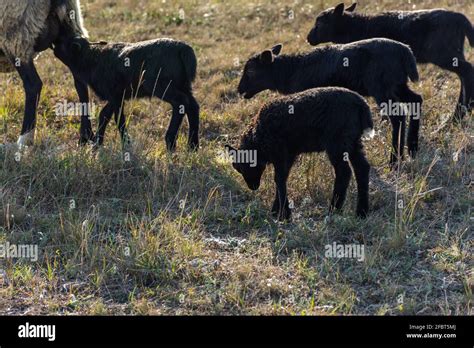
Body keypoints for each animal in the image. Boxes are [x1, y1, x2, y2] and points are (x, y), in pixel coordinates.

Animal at [0, 0, 94, 147]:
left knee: (33, 85)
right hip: (69, 26)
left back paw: (24, 139)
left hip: (17, 35)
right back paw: (86, 136)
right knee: (81, 81)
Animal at [52, 37, 200, 151]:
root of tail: (183, 49)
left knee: (181, 102)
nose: (54, 45)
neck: (90, 58)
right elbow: (108, 115)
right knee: (193, 106)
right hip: (184, 85)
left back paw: (171, 141)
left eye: (65, 43)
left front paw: (122, 144)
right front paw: (101, 143)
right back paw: (192, 146)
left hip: (162, 85)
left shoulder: (114, 95)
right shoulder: (117, 96)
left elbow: (114, 118)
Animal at [226, 88, 374, 222]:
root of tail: (362, 105)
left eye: (241, 167)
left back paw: (334, 209)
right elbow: (283, 178)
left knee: (344, 172)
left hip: (337, 141)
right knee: (362, 168)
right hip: (353, 141)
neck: (258, 138)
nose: (252, 187)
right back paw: (362, 212)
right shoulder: (290, 154)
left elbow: (279, 179)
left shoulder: (280, 153)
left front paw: (284, 214)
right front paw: (277, 210)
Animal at [237, 40, 422, 166]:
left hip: (381, 86)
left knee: (397, 116)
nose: (239, 90)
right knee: (416, 101)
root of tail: (406, 52)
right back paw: (411, 149)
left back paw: (394, 159)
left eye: (251, 71)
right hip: (398, 84)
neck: (290, 71)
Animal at [308, 2, 474, 120]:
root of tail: (460, 18)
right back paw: (464, 110)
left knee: (467, 71)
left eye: (320, 24)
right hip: (455, 52)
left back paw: (459, 114)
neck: (357, 27)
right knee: (463, 75)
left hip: (443, 53)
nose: (308, 38)